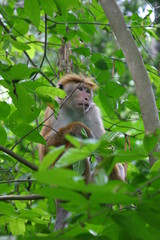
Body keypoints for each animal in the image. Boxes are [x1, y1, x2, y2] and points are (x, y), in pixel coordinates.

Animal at [38, 73, 125, 231]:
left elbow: (104, 153)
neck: (74, 110)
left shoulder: (93, 112)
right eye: (80, 89)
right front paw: (78, 127)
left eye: (88, 91)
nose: (86, 98)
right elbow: (45, 148)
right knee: (74, 147)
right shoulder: (55, 109)